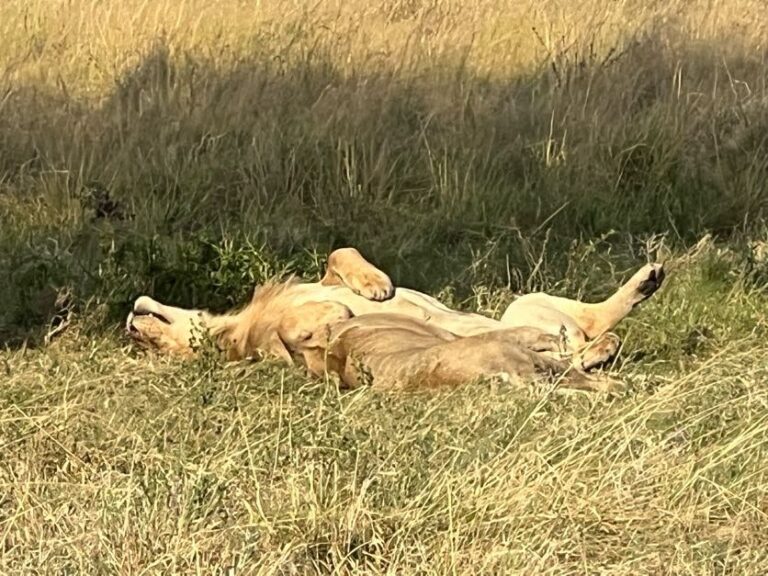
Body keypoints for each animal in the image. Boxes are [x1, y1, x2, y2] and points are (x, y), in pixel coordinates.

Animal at [126, 247, 664, 391]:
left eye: (149, 344)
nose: (129, 326)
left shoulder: (324, 275)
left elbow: (340, 253)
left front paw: (375, 285)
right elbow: (301, 326)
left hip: (529, 302)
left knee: (592, 322)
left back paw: (648, 279)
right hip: (527, 320)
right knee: (587, 341)